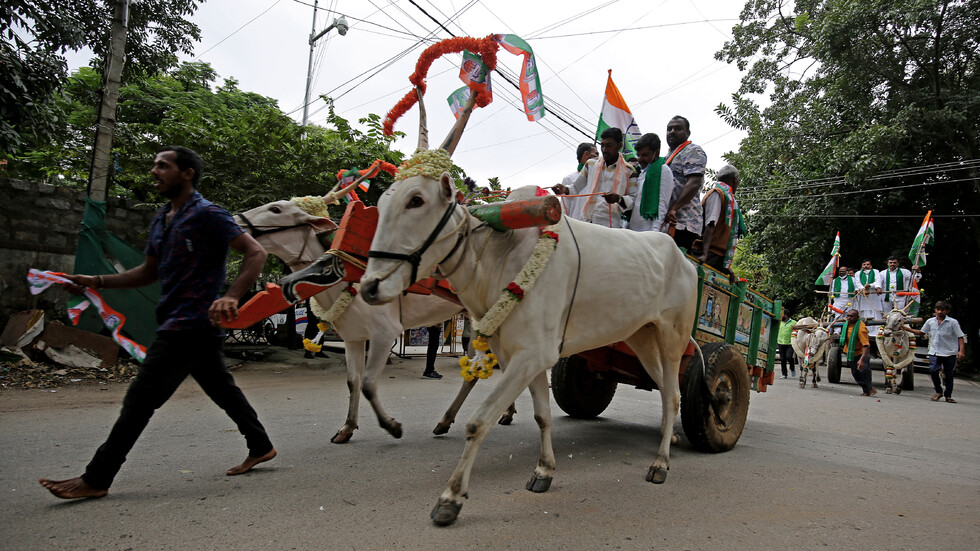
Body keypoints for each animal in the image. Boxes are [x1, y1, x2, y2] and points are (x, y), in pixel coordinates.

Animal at [234, 198, 520, 444]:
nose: (236, 221)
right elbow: (353, 381)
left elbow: (369, 384)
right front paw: (347, 428)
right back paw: (487, 415)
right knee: (501, 368)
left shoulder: (385, 334)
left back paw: (450, 419)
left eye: (275, 209)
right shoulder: (353, 336)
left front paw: (392, 426)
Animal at [360, 176, 696, 528]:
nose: (369, 287)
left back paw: (660, 463)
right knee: (664, 390)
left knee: (674, 395)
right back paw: (667, 441)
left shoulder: (532, 355)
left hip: (673, 338)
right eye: (381, 205)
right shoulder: (521, 358)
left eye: (416, 201)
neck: (502, 257)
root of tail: (685, 261)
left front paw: (450, 497)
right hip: (641, 338)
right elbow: (542, 416)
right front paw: (544, 470)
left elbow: (478, 422)